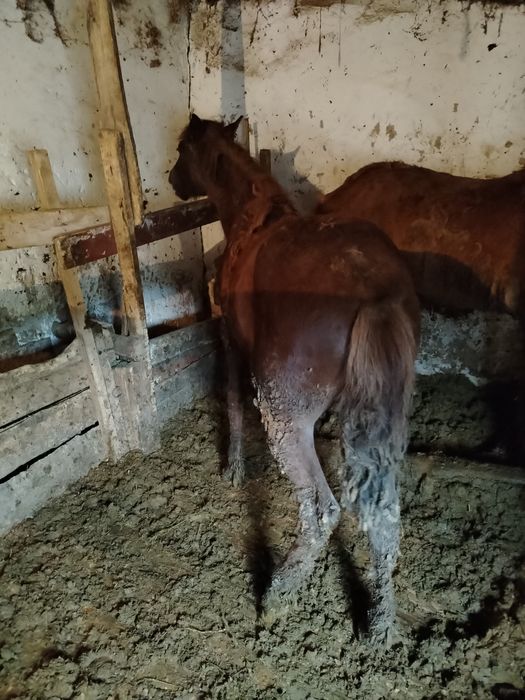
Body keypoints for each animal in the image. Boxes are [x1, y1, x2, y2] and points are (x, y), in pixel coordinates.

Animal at [168, 115, 420, 645]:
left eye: (182, 149)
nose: (172, 181)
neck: (251, 217)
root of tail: (374, 288)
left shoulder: (231, 341)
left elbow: (232, 400)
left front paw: (233, 468)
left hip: (283, 414)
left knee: (323, 511)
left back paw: (279, 591)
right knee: (384, 515)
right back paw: (381, 624)